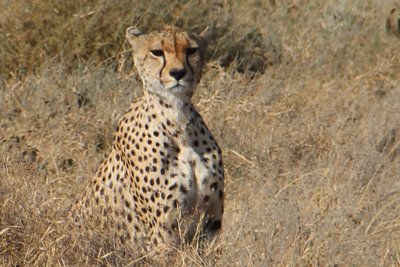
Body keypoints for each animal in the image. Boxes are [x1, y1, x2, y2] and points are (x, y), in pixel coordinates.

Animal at [70, 25, 223, 251]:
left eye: (192, 50)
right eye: (157, 52)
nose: (178, 73)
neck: (178, 121)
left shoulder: (211, 226)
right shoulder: (163, 233)